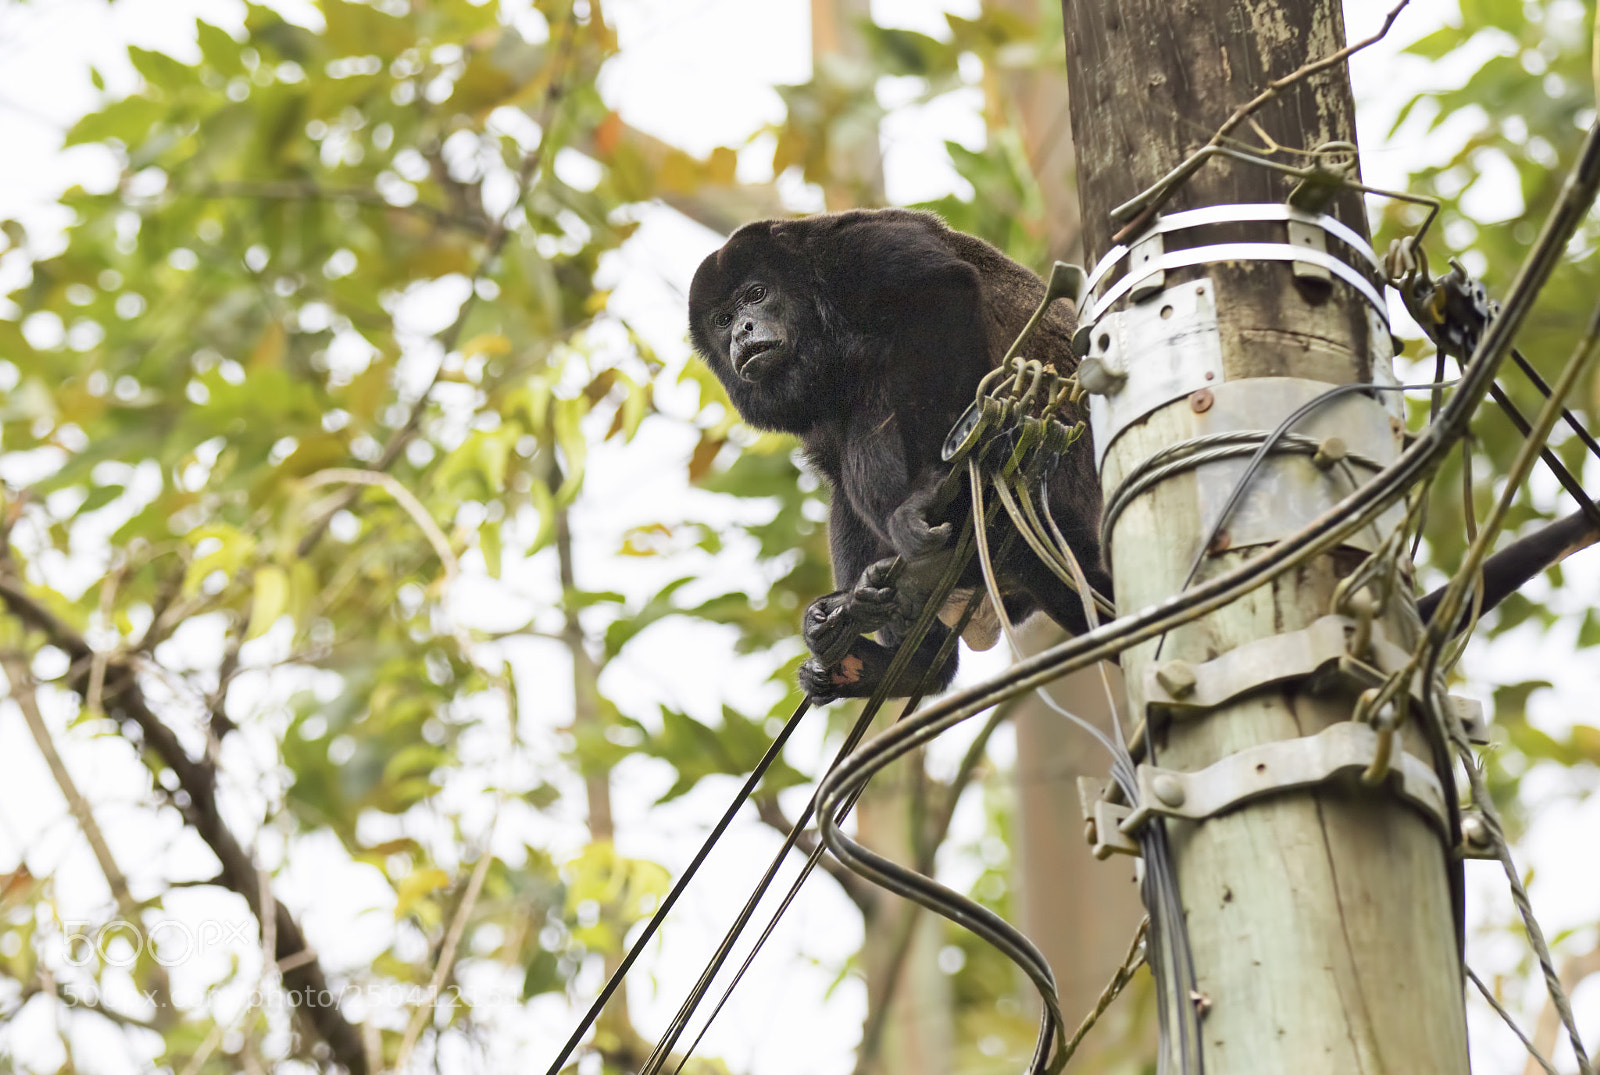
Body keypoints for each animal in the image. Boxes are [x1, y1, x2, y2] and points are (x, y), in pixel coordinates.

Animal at [688, 208, 1109, 702]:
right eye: (722, 319)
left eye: (756, 294)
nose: (742, 330)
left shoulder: (847, 257)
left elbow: (941, 289)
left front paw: (927, 492)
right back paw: (883, 646)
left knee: (874, 385)